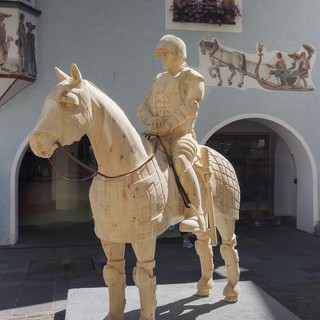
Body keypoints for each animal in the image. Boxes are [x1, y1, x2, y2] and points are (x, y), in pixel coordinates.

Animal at [30, 63, 240, 318]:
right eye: (46, 101)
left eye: (68, 102)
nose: (36, 143)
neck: (124, 168)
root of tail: (222, 156)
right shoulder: (109, 235)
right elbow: (113, 272)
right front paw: (113, 314)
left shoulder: (144, 236)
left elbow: (143, 276)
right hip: (204, 219)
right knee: (203, 245)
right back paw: (203, 287)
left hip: (224, 214)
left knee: (228, 247)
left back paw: (231, 291)